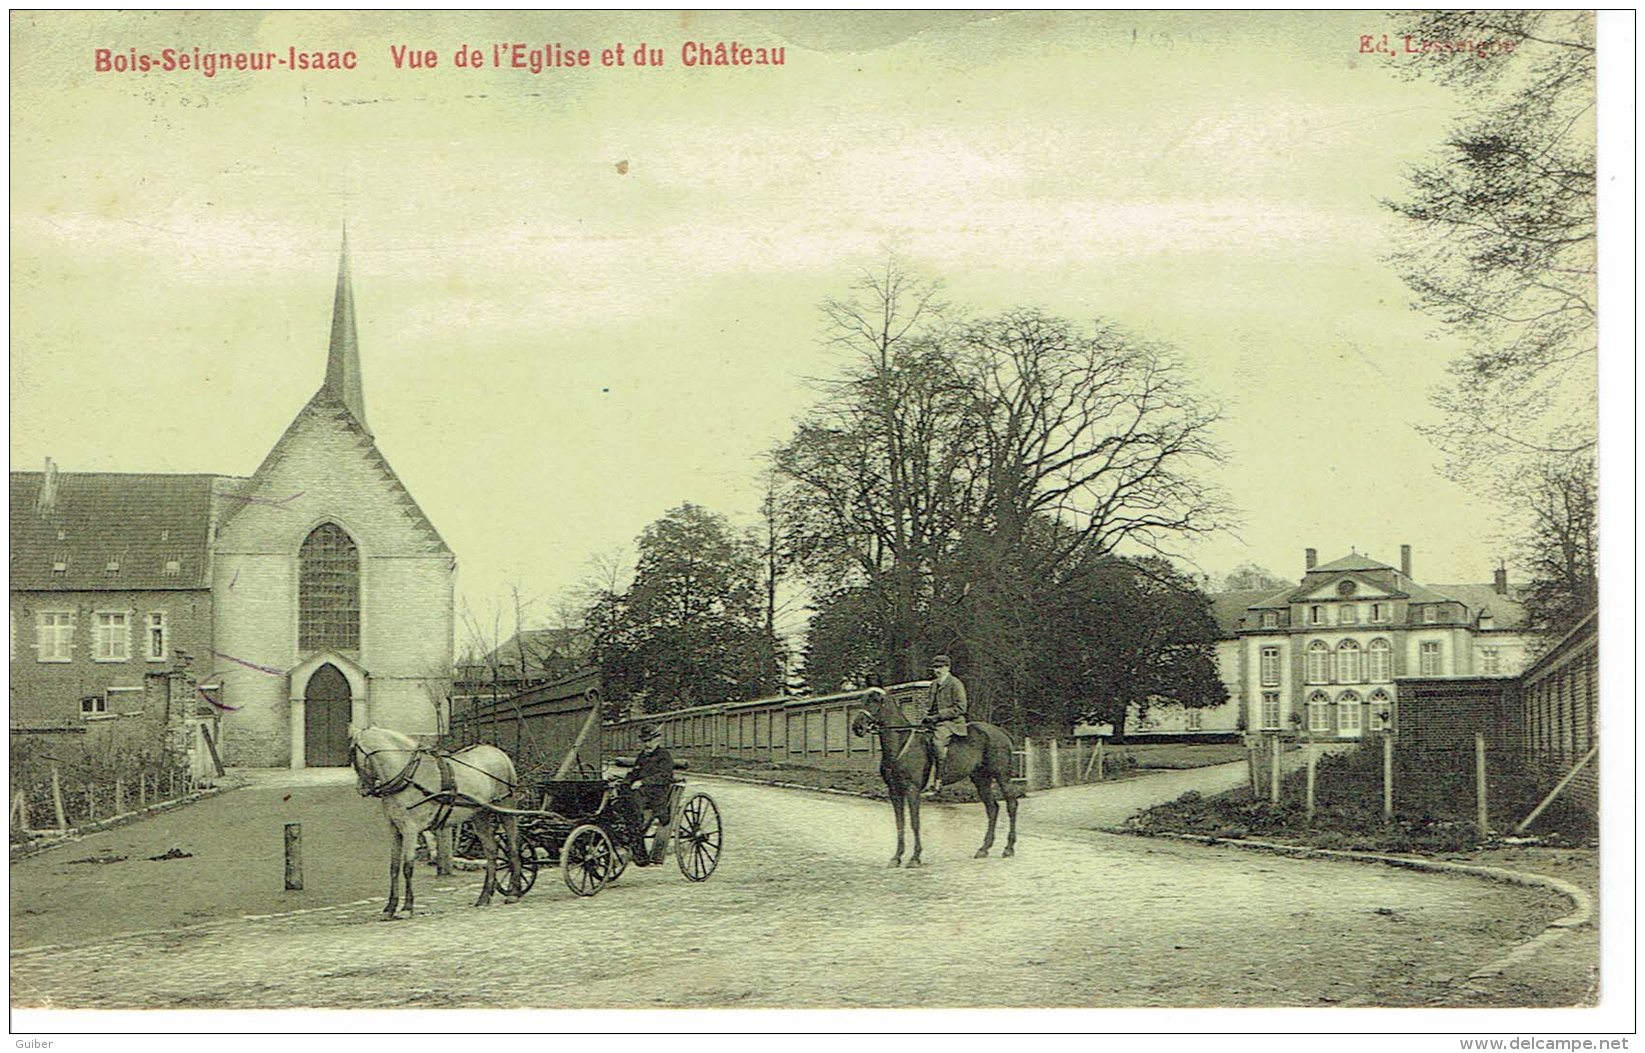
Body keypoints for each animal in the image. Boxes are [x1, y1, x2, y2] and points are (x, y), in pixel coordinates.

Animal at [350, 727, 523, 914]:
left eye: (352, 753)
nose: (361, 789)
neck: (408, 776)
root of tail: (499, 753)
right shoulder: (394, 829)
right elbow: (394, 868)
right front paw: (390, 907)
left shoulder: (410, 829)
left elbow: (407, 867)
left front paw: (407, 907)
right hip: (479, 814)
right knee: (491, 851)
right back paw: (484, 897)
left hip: (506, 808)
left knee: (513, 847)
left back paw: (514, 893)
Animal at [848, 687, 1013, 868]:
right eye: (862, 700)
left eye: (875, 701)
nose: (857, 727)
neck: (901, 744)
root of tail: (1000, 732)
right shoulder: (894, 791)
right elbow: (900, 823)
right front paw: (896, 857)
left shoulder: (912, 790)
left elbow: (915, 822)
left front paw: (915, 857)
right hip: (981, 779)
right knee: (992, 808)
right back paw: (983, 849)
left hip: (1002, 776)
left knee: (1011, 805)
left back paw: (1008, 848)